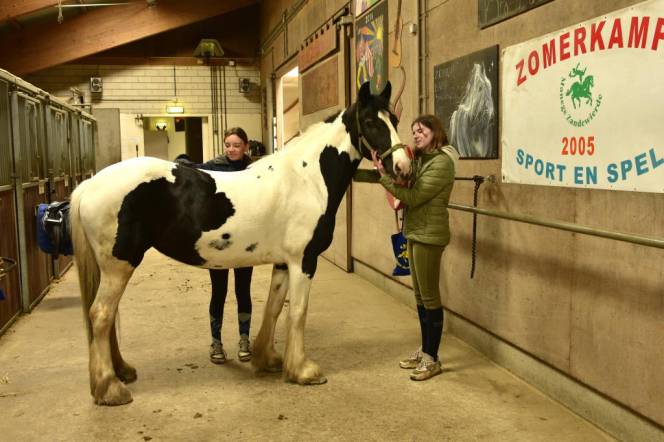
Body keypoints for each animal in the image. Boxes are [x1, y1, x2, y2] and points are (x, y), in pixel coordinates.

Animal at [70, 81, 411, 406]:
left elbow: (275, 308)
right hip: (119, 264)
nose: (403, 167)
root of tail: (89, 184)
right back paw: (110, 388)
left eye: (394, 119)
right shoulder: (304, 260)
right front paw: (303, 371)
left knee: (107, 317)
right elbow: (298, 311)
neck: (306, 179)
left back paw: (121, 372)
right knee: (101, 315)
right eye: (370, 121)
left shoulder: (283, 262)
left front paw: (268, 359)